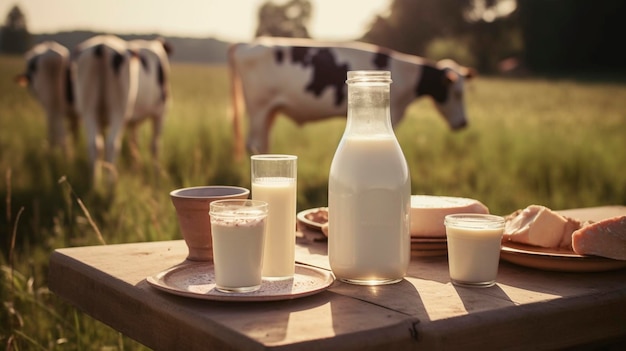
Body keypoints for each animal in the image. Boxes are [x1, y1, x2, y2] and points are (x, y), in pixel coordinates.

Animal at [228, 36, 472, 155]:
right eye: (457, 93)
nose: (464, 123)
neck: (405, 74)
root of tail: (248, 42)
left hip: (270, 109)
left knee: (263, 143)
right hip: (258, 107)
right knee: (254, 144)